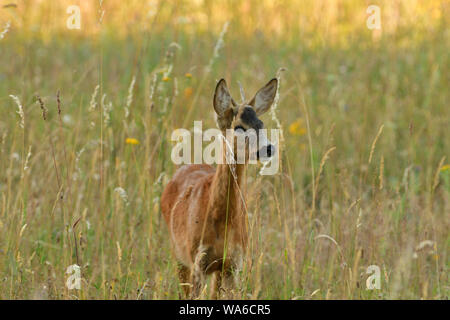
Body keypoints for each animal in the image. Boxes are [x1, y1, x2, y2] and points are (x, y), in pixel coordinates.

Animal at [160, 79, 276, 298]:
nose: (268, 148)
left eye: (261, 124)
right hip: (178, 254)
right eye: (238, 127)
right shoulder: (197, 259)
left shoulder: (234, 262)